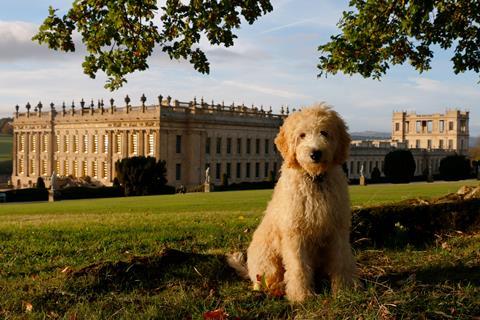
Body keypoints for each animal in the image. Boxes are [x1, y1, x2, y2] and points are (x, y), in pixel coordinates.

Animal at [229, 103, 356, 302]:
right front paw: (301, 296)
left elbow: (341, 260)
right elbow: (298, 266)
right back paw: (278, 288)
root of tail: (248, 269)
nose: (315, 153)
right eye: (302, 135)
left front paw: (344, 291)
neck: (314, 179)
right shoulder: (295, 234)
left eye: (324, 132)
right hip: (268, 260)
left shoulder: (338, 230)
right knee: (266, 281)